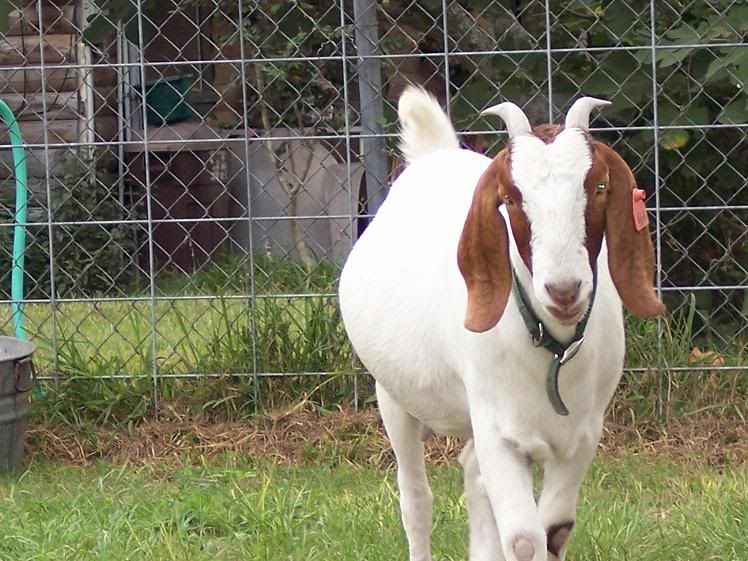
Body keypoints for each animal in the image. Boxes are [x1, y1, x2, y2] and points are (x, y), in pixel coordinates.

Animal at [338, 87, 665, 561]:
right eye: (510, 198)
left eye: (600, 186)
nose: (563, 290)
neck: (551, 347)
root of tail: (434, 152)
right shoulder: (499, 434)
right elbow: (524, 540)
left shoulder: (582, 438)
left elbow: (554, 531)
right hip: (394, 395)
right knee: (415, 498)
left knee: (473, 479)